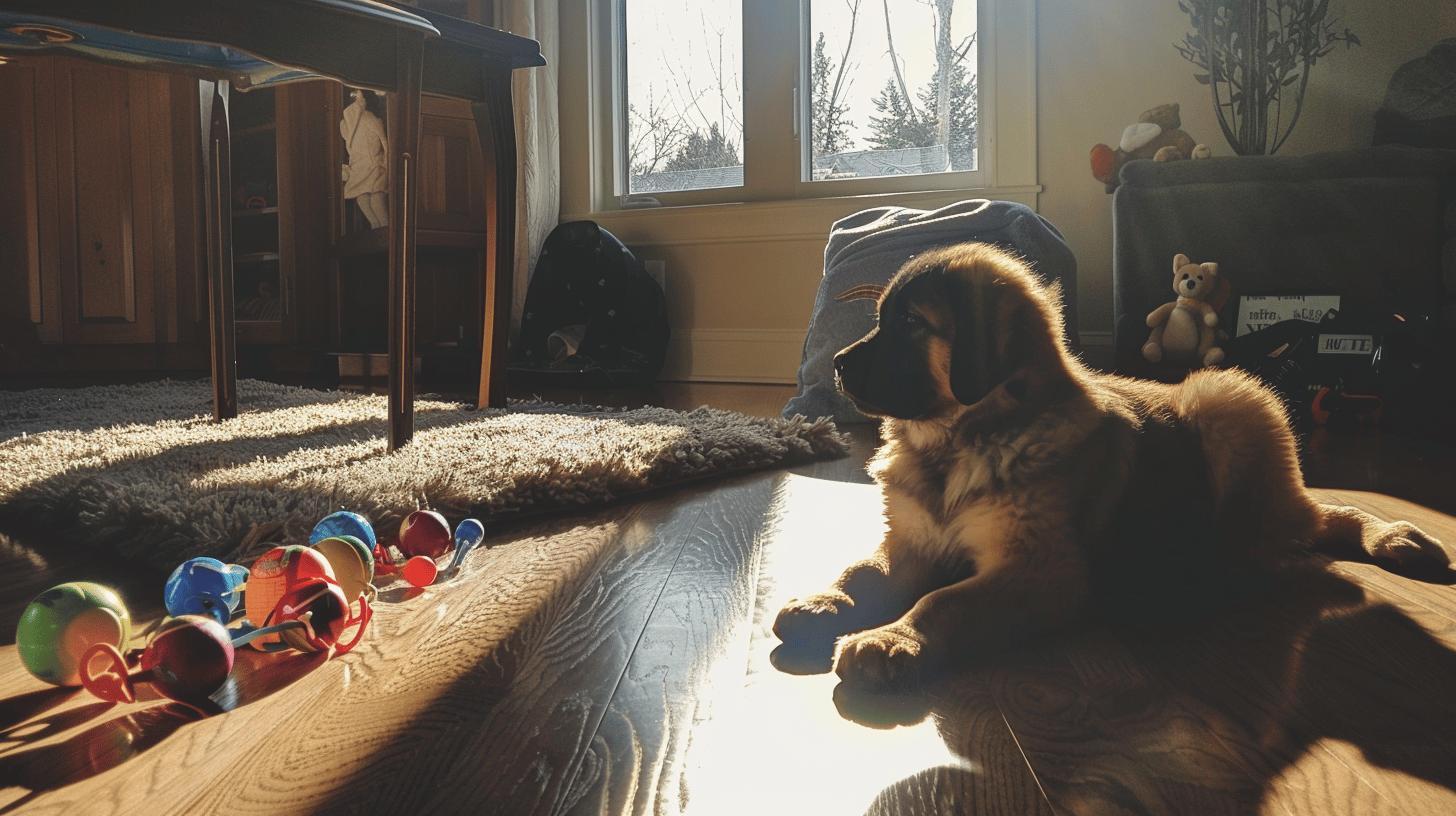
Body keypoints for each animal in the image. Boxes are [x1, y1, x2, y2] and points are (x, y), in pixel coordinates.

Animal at [774, 240, 1444, 687]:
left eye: (912, 324)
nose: (835, 364)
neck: (959, 440)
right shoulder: (910, 541)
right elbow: (861, 571)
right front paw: (823, 603)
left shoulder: (1044, 568)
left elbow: (945, 601)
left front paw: (892, 637)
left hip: (1227, 401)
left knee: (1320, 514)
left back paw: (1388, 535)